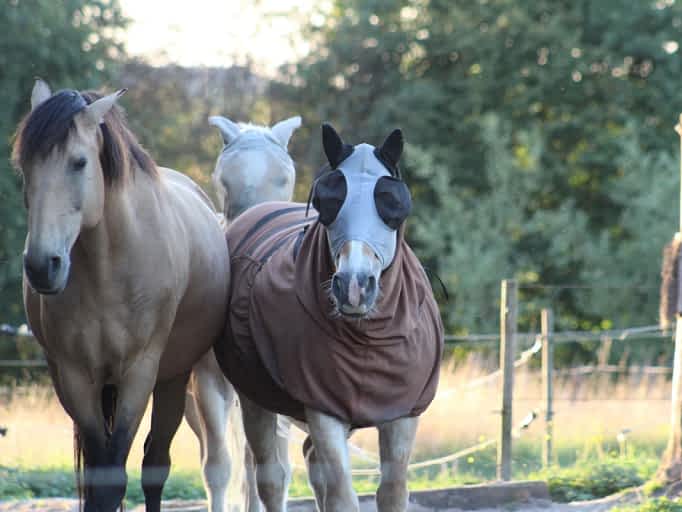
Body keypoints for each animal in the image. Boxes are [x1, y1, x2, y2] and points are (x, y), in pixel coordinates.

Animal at [12, 80, 230, 512]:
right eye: (25, 166)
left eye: (79, 162)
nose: (43, 266)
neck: (108, 270)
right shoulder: (75, 377)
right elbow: (99, 476)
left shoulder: (139, 373)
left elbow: (118, 473)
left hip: (172, 379)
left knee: (155, 462)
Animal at [213, 123, 444, 512]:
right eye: (328, 199)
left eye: (392, 202)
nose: (354, 286)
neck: (366, 341)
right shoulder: (323, 411)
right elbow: (341, 494)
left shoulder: (403, 414)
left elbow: (392, 490)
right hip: (253, 401)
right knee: (269, 476)